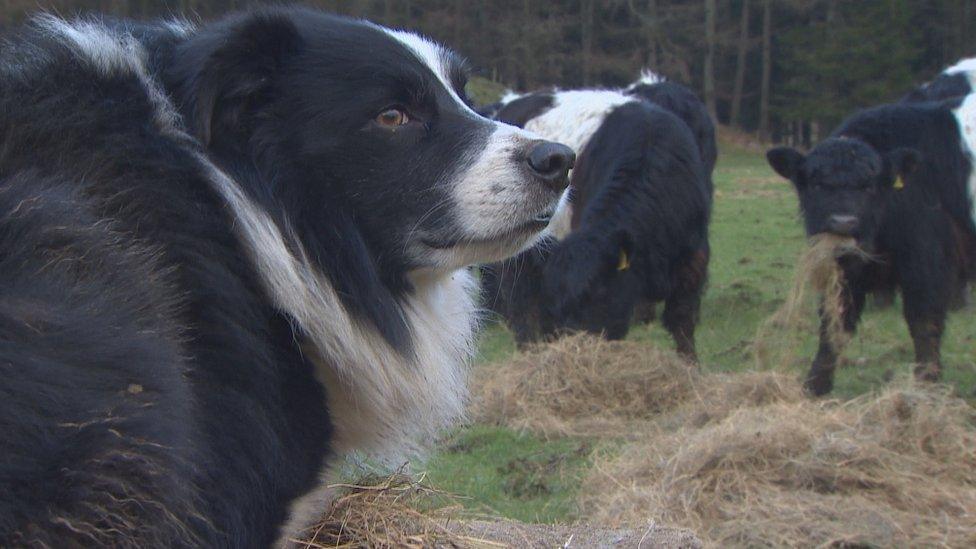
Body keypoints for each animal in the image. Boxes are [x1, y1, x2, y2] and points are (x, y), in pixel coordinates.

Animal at [772, 95, 976, 394]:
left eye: (868, 186)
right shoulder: (843, 270)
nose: (843, 222)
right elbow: (834, 323)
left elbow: (924, 323)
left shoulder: (926, 263)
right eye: (817, 184)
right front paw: (814, 386)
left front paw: (925, 385)